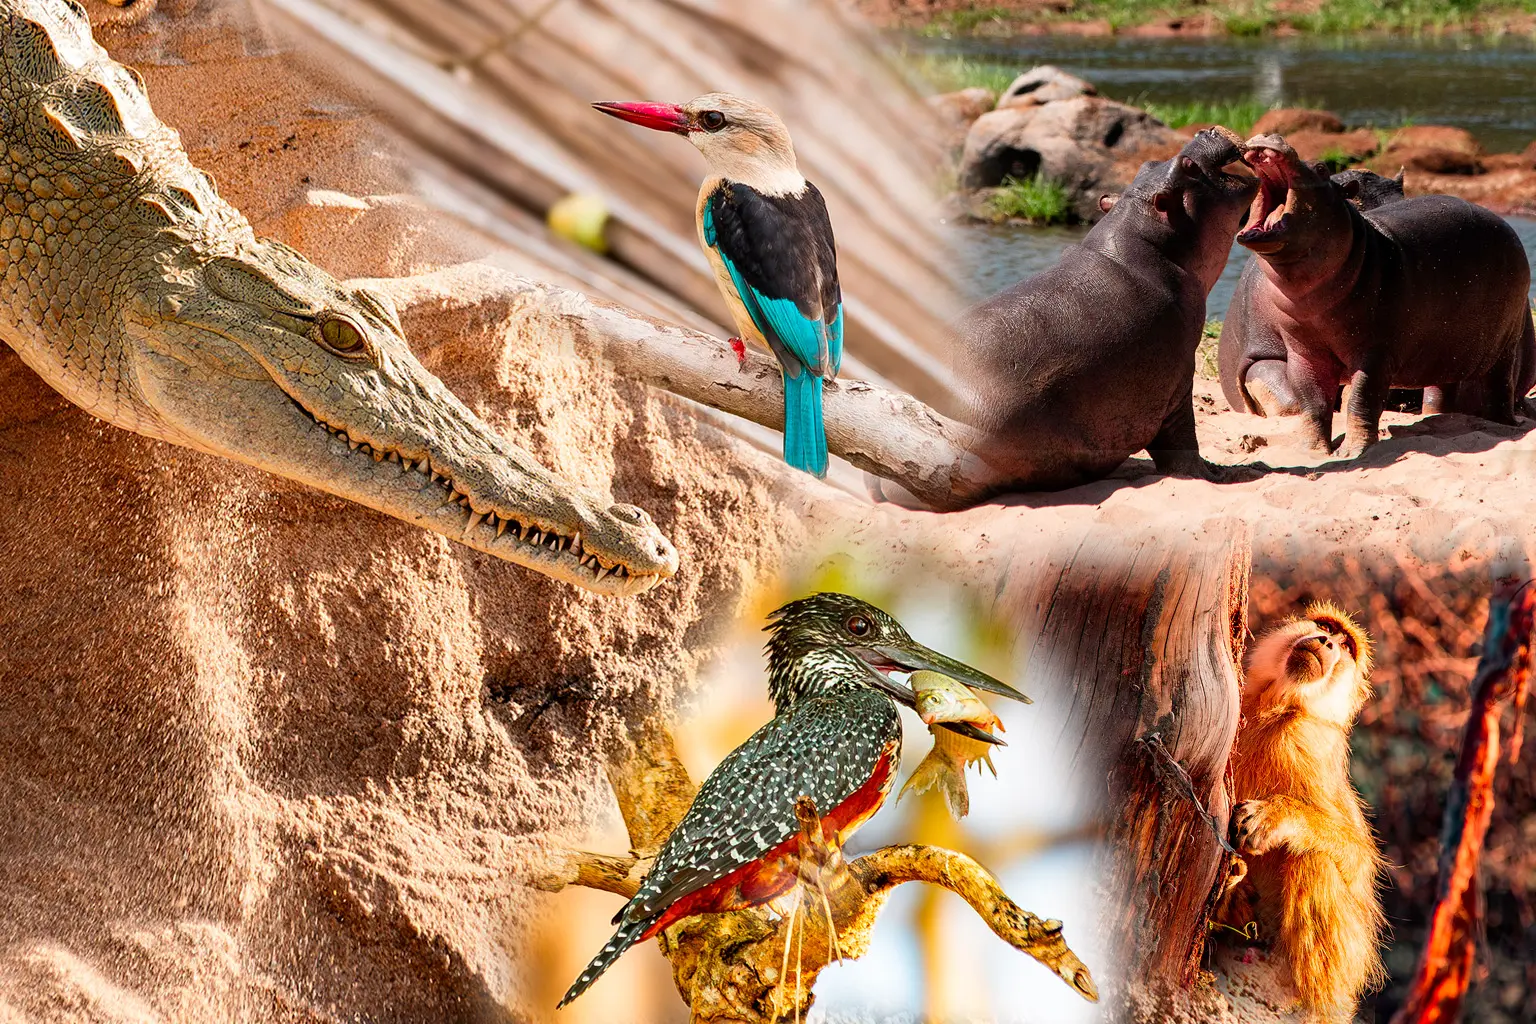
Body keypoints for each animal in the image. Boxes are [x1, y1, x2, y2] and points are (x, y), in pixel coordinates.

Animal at [954, 128, 1257, 492]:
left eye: (1148, 163)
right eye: (1188, 166)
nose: (1205, 130)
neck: (1142, 246)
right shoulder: (1178, 382)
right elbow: (1183, 446)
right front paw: (1221, 474)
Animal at [1214, 601, 1388, 1022]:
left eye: (1347, 645)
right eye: (1325, 626)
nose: (1325, 641)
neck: (1277, 706)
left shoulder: (1308, 742)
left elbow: (1357, 863)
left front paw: (1274, 819)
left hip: (1344, 966)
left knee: (1314, 862)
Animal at [1218, 135, 1534, 457]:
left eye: (1321, 168)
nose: (1273, 137)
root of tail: (1505, 224)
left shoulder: (1376, 351)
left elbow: (1360, 398)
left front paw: (1353, 452)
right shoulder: (1302, 352)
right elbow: (1309, 401)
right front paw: (1312, 451)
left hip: (1504, 345)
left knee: (1499, 385)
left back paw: (1505, 424)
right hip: (1447, 349)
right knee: (1443, 389)